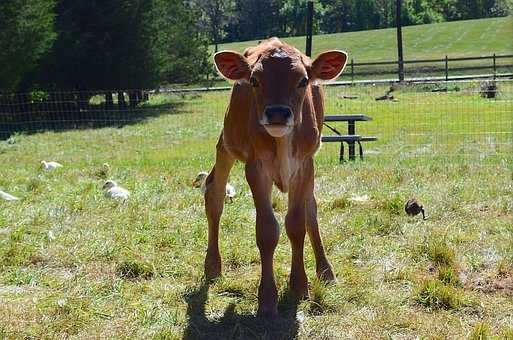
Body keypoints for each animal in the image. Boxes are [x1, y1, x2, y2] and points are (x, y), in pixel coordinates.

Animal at [202, 38, 346, 318]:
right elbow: (267, 230)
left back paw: (326, 271)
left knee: (311, 210)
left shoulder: (305, 165)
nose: (278, 113)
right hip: (227, 141)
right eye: (254, 79)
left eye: (303, 80)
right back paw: (213, 266)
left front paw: (300, 286)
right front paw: (267, 299)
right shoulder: (256, 167)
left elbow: (297, 224)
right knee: (214, 193)